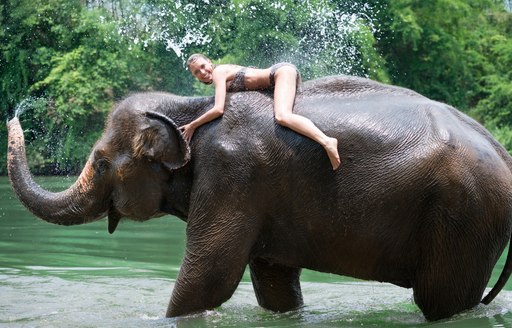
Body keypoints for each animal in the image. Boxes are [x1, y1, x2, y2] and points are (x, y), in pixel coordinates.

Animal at [7, 73, 512, 320]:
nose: (13, 115)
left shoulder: (233, 176)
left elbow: (209, 278)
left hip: (464, 217)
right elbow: (274, 284)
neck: (186, 105)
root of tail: (504, 154)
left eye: (98, 163)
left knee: (440, 301)